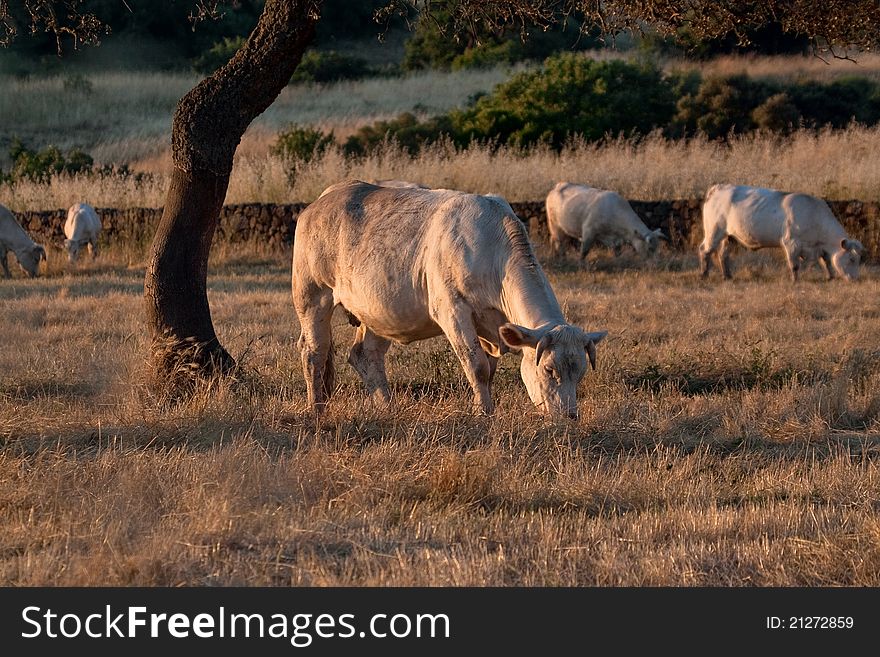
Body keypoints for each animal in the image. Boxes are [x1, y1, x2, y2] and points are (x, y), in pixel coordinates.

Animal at [292, 179, 608, 418]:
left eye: (580, 372)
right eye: (549, 369)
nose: (569, 416)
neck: (494, 252)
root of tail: (323, 200)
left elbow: (489, 369)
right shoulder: (452, 310)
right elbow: (477, 367)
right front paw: (484, 413)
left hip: (378, 311)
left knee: (365, 355)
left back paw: (387, 406)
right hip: (312, 296)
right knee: (313, 352)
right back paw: (316, 409)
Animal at [700, 182, 868, 280]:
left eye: (859, 259)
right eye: (852, 259)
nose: (855, 279)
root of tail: (719, 187)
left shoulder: (819, 248)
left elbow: (826, 261)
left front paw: (830, 277)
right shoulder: (791, 243)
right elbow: (794, 265)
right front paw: (795, 281)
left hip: (729, 237)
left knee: (723, 254)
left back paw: (727, 276)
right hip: (713, 231)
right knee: (705, 250)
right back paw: (704, 275)